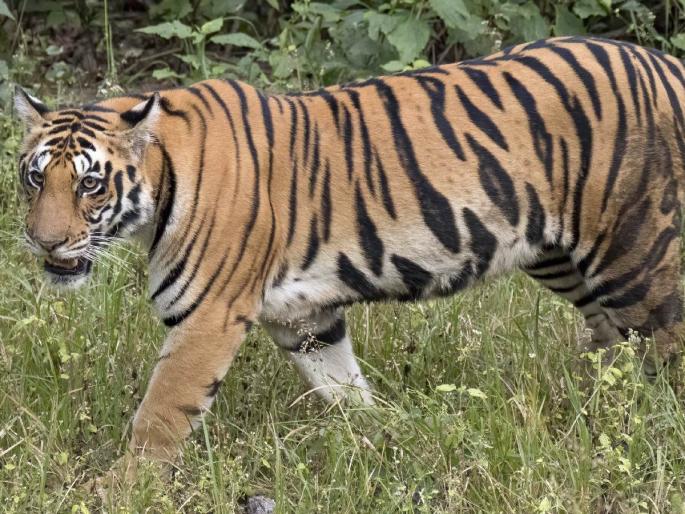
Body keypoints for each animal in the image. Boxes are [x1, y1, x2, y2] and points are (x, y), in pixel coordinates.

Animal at [14, 36, 685, 474]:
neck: (161, 186)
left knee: (662, 344)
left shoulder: (207, 316)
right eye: (34, 177)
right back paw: (590, 404)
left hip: (636, 251)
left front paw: (123, 490)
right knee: (612, 341)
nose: (44, 243)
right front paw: (384, 438)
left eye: (90, 184)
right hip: (559, 255)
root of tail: (666, 62)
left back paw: (641, 428)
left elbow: (160, 415)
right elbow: (343, 387)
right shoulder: (303, 317)